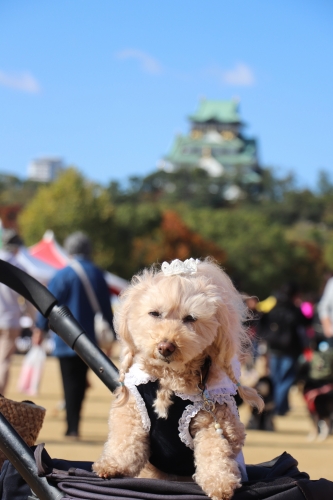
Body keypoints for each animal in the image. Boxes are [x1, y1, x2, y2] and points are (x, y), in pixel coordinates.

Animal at [92, 260, 262, 498]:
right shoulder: (132, 410)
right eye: (155, 313)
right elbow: (125, 441)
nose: (166, 346)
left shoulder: (215, 420)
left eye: (190, 318)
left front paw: (220, 483)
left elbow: (215, 452)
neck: (170, 378)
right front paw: (111, 465)